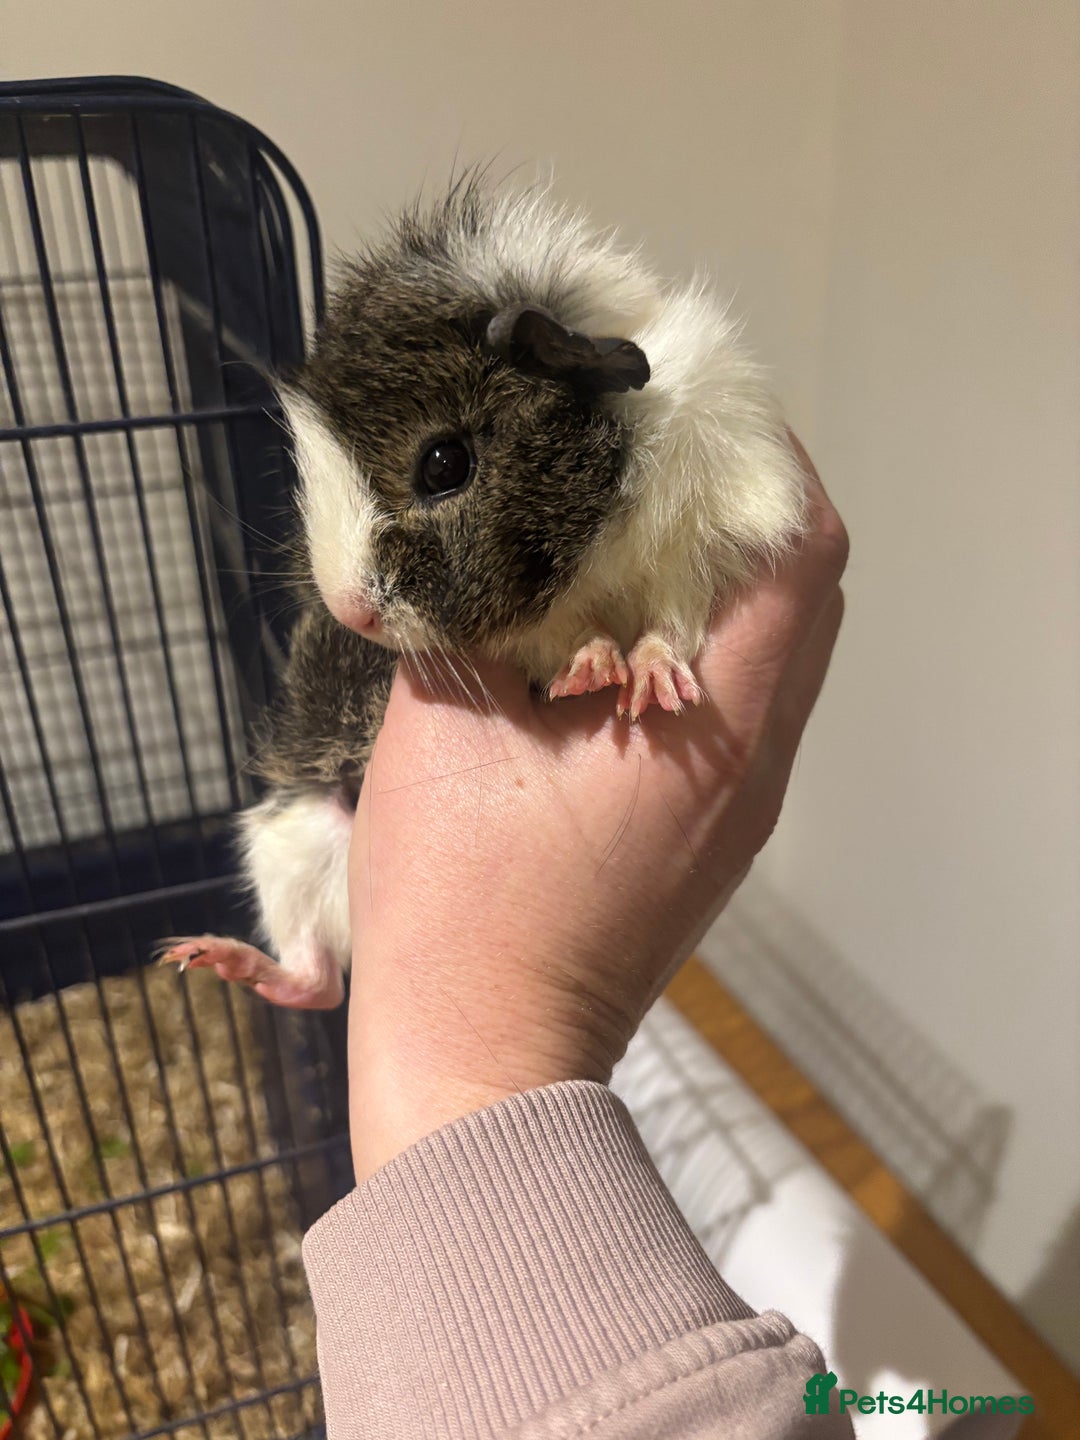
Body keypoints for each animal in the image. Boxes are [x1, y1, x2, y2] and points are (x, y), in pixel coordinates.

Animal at [155, 177, 807, 1009]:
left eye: (444, 463)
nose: (346, 609)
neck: (598, 549)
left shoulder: (699, 546)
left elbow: (671, 624)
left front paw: (652, 687)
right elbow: (566, 638)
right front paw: (593, 669)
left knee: (320, 983)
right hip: (285, 835)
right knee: (312, 975)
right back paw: (201, 956)